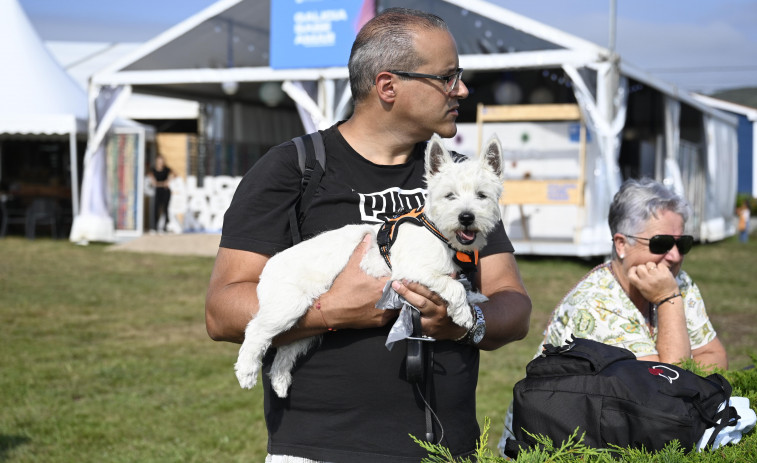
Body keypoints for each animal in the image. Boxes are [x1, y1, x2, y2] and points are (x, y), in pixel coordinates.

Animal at [233, 134, 504, 398]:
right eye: (450, 196)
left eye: (482, 195)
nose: (466, 217)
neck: (437, 232)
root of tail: (270, 265)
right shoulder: (411, 271)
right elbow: (452, 285)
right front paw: (462, 312)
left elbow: (462, 285)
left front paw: (475, 298)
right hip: (288, 306)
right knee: (255, 330)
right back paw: (246, 372)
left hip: (306, 325)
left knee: (285, 350)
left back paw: (279, 381)